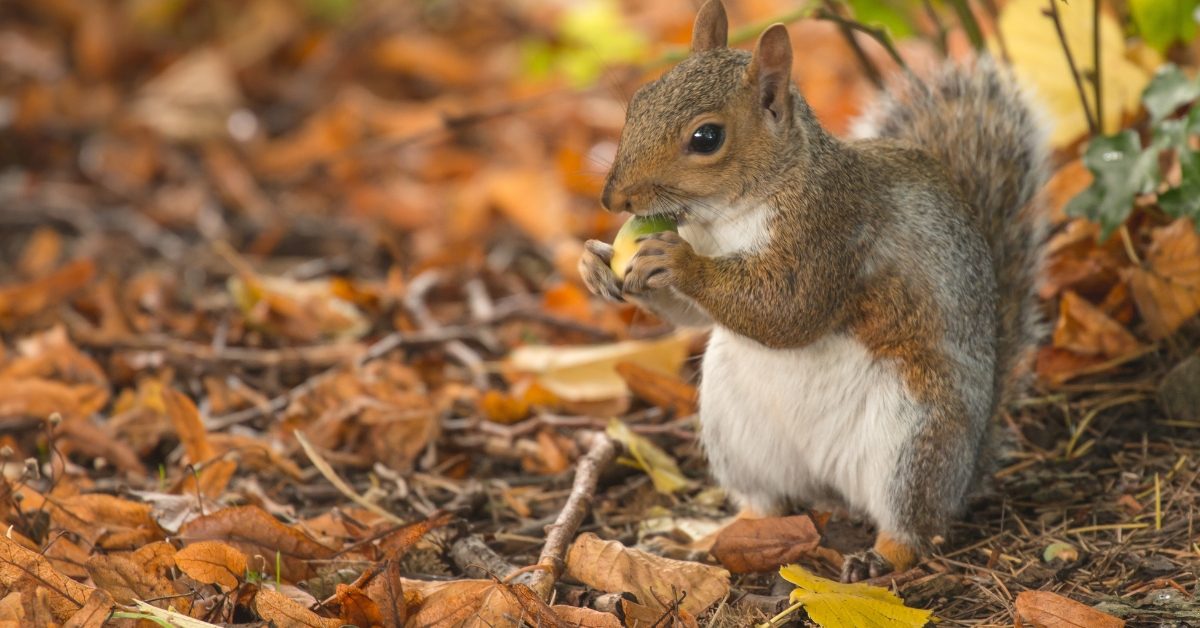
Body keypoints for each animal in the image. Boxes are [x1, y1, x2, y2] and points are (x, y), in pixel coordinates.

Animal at [576, 0, 1046, 585]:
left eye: (706, 138)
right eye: (639, 100)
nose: (613, 199)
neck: (730, 214)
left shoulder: (832, 231)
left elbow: (789, 310)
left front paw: (679, 262)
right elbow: (692, 318)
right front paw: (594, 263)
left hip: (915, 436)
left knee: (914, 524)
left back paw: (880, 556)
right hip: (737, 432)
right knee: (765, 502)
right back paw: (711, 536)